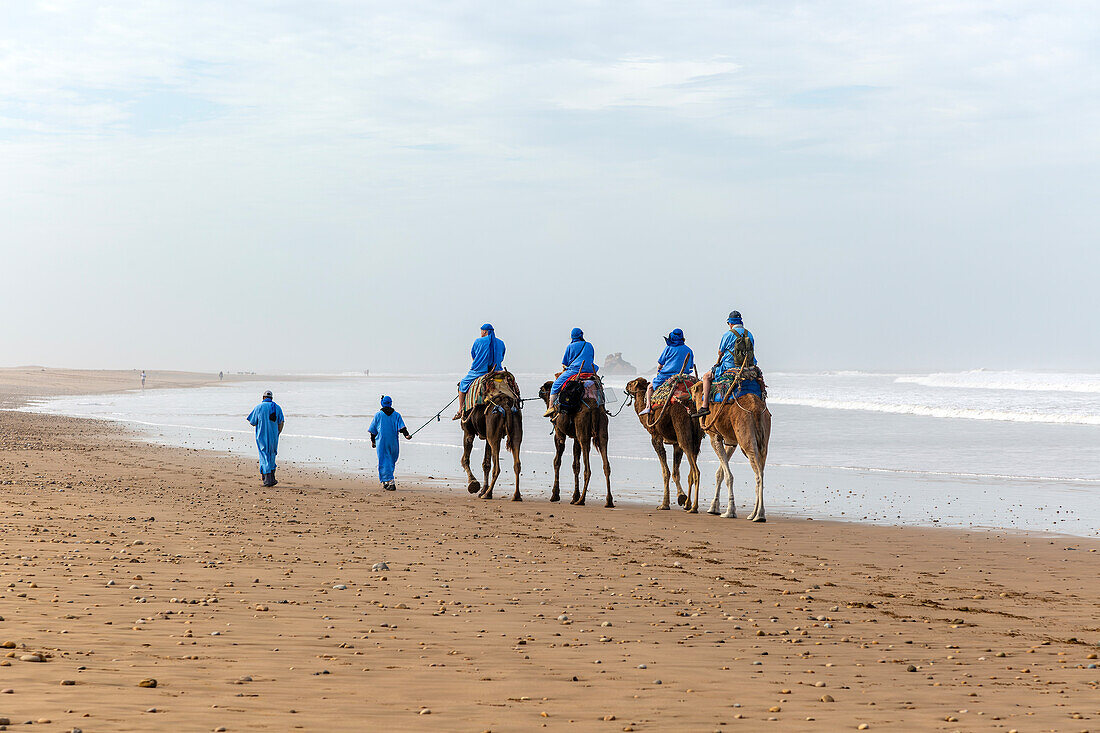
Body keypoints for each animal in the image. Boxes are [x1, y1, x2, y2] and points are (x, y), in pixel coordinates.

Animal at [457, 372, 521, 501]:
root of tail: (506, 403)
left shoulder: (468, 432)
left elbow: (465, 459)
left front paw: (473, 483)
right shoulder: (487, 436)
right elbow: (486, 463)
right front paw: (482, 489)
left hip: (494, 433)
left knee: (497, 467)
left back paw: (488, 494)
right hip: (515, 429)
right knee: (517, 464)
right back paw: (516, 496)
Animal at [624, 376, 699, 508]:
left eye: (632, 383)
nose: (627, 385)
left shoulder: (656, 437)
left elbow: (666, 472)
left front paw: (664, 504)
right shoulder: (675, 443)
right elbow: (675, 472)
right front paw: (681, 497)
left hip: (682, 429)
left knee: (693, 466)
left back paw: (693, 506)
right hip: (697, 437)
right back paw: (690, 504)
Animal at [690, 376, 770, 519]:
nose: (690, 393)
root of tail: (756, 410)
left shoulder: (714, 436)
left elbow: (728, 476)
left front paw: (729, 511)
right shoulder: (731, 441)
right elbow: (720, 473)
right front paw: (713, 508)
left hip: (746, 437)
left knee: (758, 473)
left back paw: (759, 515)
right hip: (763, 441)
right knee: (761, 468)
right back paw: (753, 514)